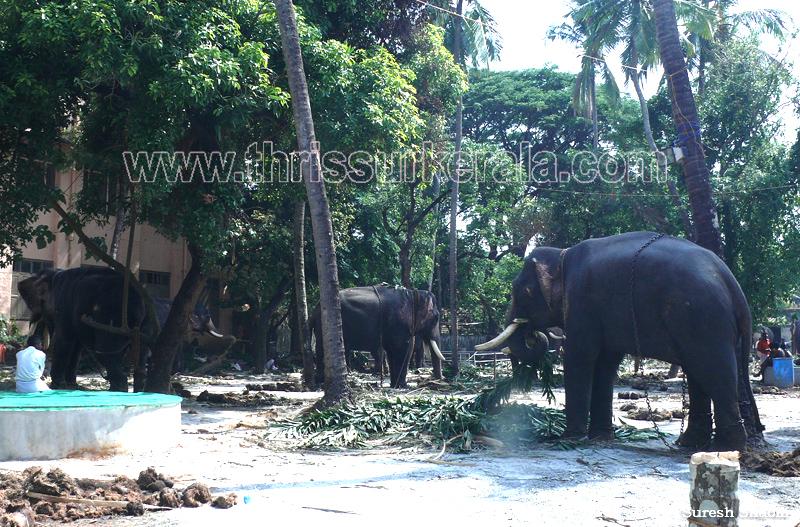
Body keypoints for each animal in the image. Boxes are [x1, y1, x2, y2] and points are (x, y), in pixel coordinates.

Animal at [16, 268, 152, 392]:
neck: (54, 273)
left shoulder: (63, 305)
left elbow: (65, 340)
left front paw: (58, 385)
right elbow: (76, 347)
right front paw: (71, 385)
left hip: (112, 318)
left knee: (104, 353)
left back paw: (117, 389)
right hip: (144, 323)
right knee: (140, 355)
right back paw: (132, 389)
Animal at [310, 286, 446, 390]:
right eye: (435, 319)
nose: (438, 381)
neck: (413, 294)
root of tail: (316, 308)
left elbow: (391, 352)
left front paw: (394, 385)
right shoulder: (400, 324)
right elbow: (403, 349)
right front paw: (403, 386)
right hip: (325, 325)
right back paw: (321, 381)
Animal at [476, 233, 764, 452]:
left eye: (518, 290)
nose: (535, 333)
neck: (562, 254)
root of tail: (732, 285)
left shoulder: (582, 303)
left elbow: (580, 357)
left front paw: (568, 439)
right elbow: (605, 364)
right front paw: (601, 438)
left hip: (703, 320)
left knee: (713, 371)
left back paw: (724, 448)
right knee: (698, 374)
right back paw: (690, 444)